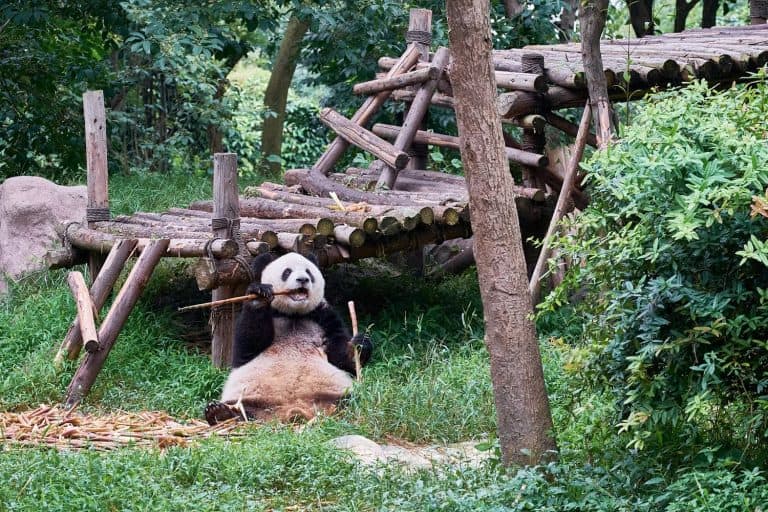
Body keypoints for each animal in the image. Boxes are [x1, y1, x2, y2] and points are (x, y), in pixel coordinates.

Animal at [204, 252, 372, 425]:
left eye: (309, 272)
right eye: (287, 272)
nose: (303, 279)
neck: (293, 313)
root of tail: (292, 410)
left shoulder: (323, 315)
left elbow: (339, 355)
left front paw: (359, 346)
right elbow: (247, 345)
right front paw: (259, 295)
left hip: (334, 390)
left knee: (353, 399)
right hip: (250, 394)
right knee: (241, 407)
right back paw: (221, 413)